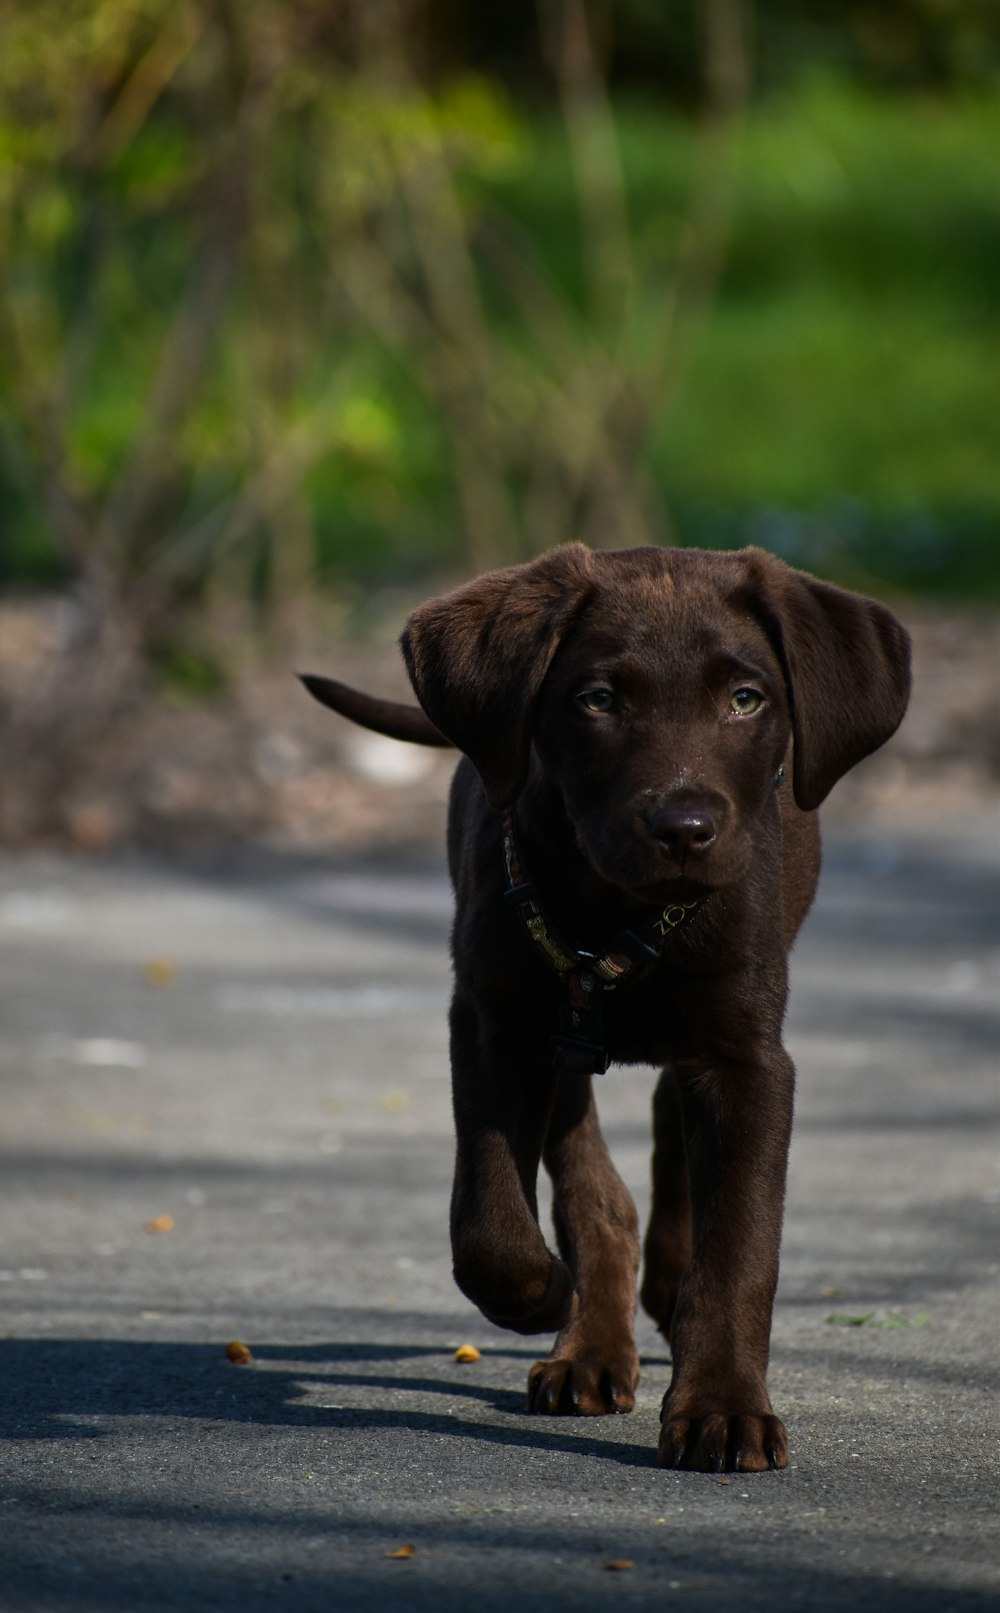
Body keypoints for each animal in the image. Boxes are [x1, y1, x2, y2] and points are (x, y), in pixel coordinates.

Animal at [300, 545, 909, 1477]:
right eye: (597, 700)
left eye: (746, 698)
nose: (684, 828)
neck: (616, 912)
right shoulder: (496, 1023)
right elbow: (490, 1224)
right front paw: (548, 1292)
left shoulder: (748, 1057)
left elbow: (740, 1247)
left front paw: (723, 1407)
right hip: (562, 1041)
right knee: (597, 1189)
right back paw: (588, 1346)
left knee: (666, 1129)